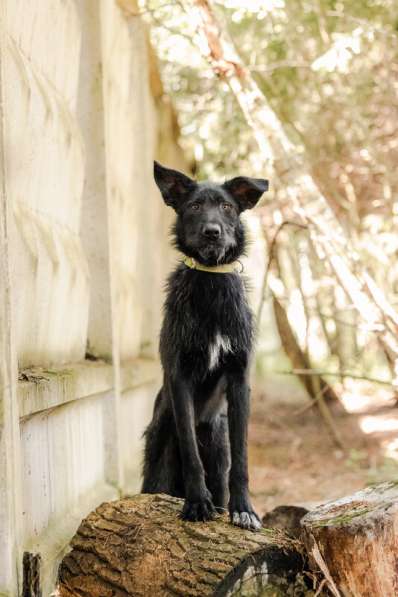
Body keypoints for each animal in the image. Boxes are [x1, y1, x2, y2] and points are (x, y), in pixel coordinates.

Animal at [141, 161, 268, 528]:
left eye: (226, 207)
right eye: (195, 206)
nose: (213, 232)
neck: (210, 281)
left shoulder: (239, 379)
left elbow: (242, 457)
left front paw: (244, 508)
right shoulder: (180, 376)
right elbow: (190, 452)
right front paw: (197, 502)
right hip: (157, 457)